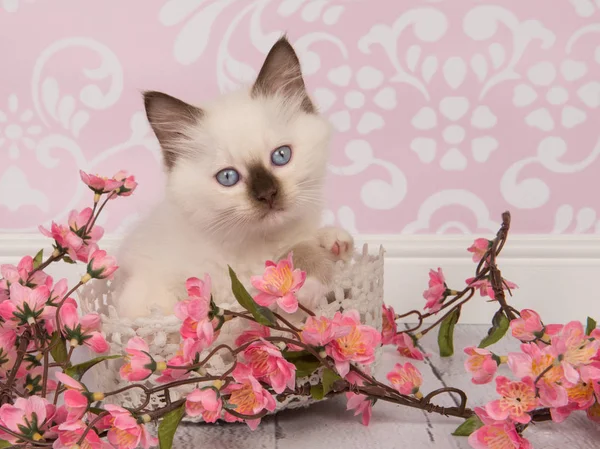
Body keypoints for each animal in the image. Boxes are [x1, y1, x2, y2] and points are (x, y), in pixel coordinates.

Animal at [115, 36, 354, 320]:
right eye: (228, 177)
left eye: (281, 156)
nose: (267, 195)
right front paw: (307, 286)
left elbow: (305, 245)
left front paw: (332, 245)